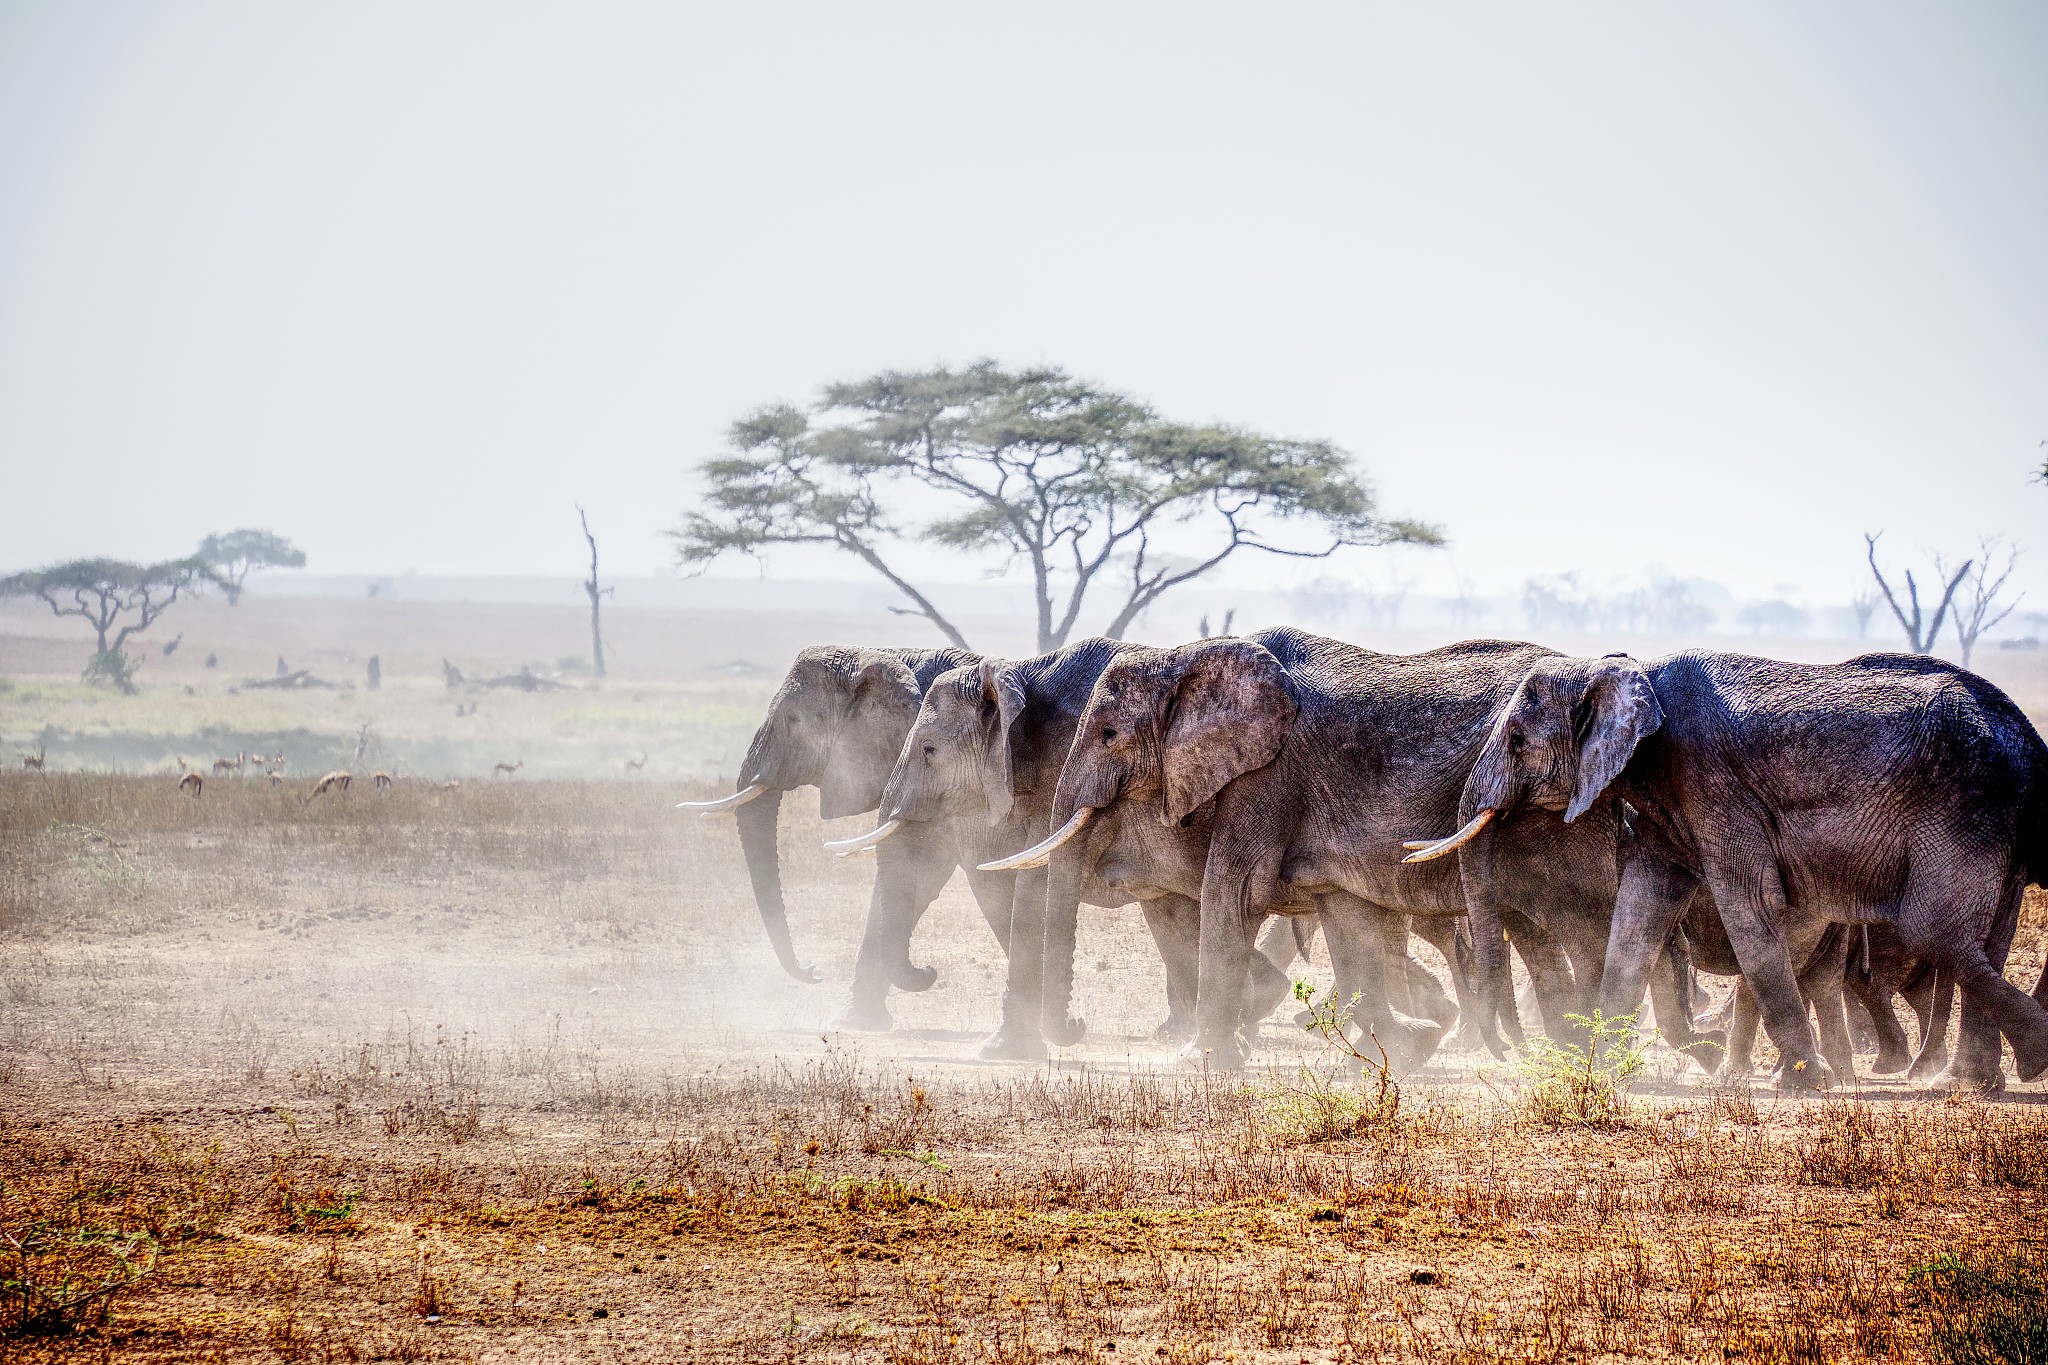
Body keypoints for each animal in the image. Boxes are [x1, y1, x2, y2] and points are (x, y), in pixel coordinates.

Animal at [1012, 628, 1651, 1072]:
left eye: (1108, 735)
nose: (1074, 1027)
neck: (1190, 657)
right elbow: (1348, 915)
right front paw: (1406, 1049)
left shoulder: (1268, 775)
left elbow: (1234, 892)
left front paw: (1198, 1062)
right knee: (1541, 934)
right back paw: (1564, 1050)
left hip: (1565, 824)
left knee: (1583, 924)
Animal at [1428, 649, 2048, 1089]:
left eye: (1516, 740)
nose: (1510, 1055)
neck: (1623, 671)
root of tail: (2028, 739)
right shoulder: (1668, 802)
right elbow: (1639, 911)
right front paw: (1598, 1069)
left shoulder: (1711, 785)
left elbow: (1746, 906)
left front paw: (1806, 1083)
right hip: (1999, 821)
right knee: (1987, 938)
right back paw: (1972, 1081)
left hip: (1965, 808)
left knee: (1932, 929)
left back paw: (2026, 1061)